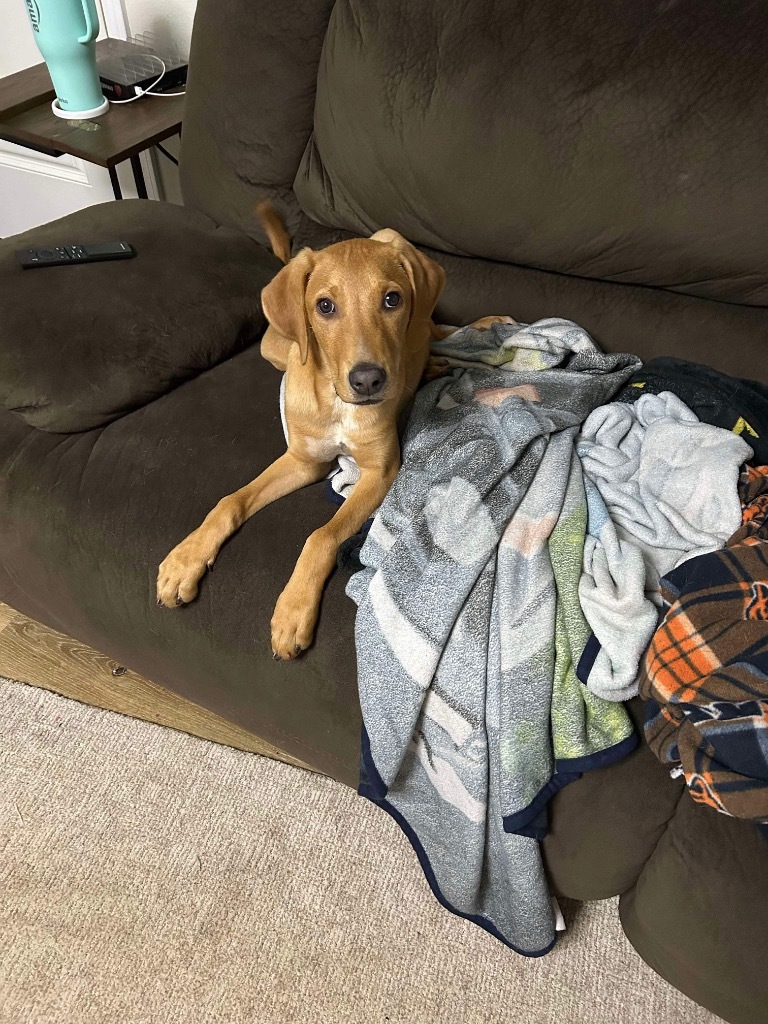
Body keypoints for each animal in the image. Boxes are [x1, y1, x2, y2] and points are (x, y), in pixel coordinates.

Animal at [156, 203, 444, 659]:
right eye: (324, 306)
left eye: (392, 299)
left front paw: (293, 609)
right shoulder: (303, 461)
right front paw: (186, 559)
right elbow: (230, 501)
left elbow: (321, 536)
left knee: (439, 331)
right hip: (273, 350)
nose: (368, 381)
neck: (338, 404)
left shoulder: (380, 472)